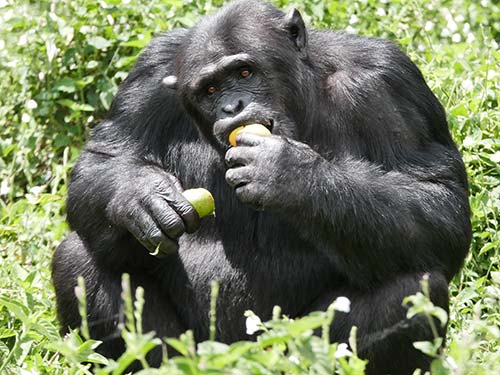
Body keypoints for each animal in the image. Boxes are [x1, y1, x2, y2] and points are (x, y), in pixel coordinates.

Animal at [51, 1, 472, 374]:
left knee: (412, 288)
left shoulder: (389, 82)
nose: (232, 107)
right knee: (80, 259)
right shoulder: (150, 72)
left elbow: (435, 197)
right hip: (194, 353)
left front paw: (287, 173)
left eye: (245, 73)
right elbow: (107, 155)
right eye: (209, 90)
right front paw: (143, 197)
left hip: (285, 351)